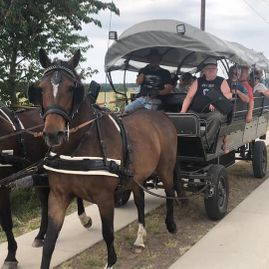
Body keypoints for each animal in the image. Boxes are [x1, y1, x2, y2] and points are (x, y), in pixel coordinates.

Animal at [0, 104, 90, 268]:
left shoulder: (3, 186)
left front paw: (11, 256)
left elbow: (6, 222)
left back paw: (84, 218)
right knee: (45, 203)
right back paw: (41, 235)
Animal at [28, 48, 177, 268]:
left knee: (169, 191)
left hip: (166, 168)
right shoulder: (58, 195)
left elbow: (108, 233)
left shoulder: (104, 197)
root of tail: (162, 116)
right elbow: (49, 244)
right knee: (140, 201)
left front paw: (111, 261)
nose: (53, 134)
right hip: (136, 176)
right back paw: (140, 237)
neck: (78, 147)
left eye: (72, 89)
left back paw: (171, 224)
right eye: (41, 88)